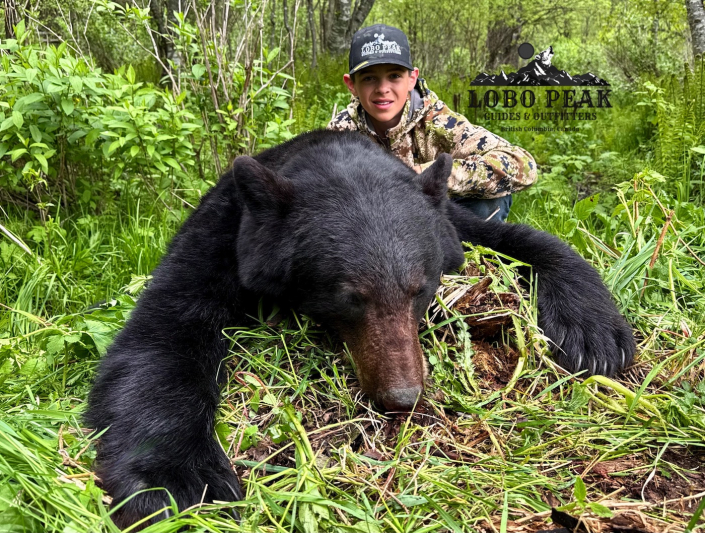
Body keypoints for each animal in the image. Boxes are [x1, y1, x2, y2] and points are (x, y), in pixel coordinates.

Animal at [86, 130, 635, 528]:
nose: (402, 396)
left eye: (420, 288)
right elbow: (165, 330)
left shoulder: (444, 219)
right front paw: (177, 480)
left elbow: (526, 241)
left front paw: (596, 338)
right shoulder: (226, 231)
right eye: (350, 296)